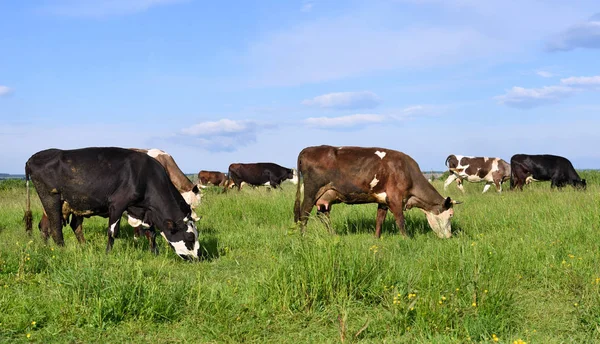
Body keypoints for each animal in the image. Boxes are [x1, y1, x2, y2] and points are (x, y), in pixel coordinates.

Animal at [25, 146, 202, 260]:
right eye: (190, 238)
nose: (199, 257)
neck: (145, 175)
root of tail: (32, 158)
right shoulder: (117, 204)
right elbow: (112, 231)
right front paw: (108, 254)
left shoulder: (144, 211)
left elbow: (150, 232)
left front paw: (155, 253)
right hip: (51, 198)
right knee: (54, 228)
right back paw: (60, 250)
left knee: (69, 226)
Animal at [294, 144, 460, 238]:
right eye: (451, 215)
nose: (449, 236)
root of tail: (308, 149)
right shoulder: (395, 198)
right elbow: (401, 221)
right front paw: (407, 239)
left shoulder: (383, 201)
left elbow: (379, 220)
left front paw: (376, 238)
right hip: (311, 191)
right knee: (304, 214)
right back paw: (303, 238)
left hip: (326, 196)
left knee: (323, 215)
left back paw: (333, 236)